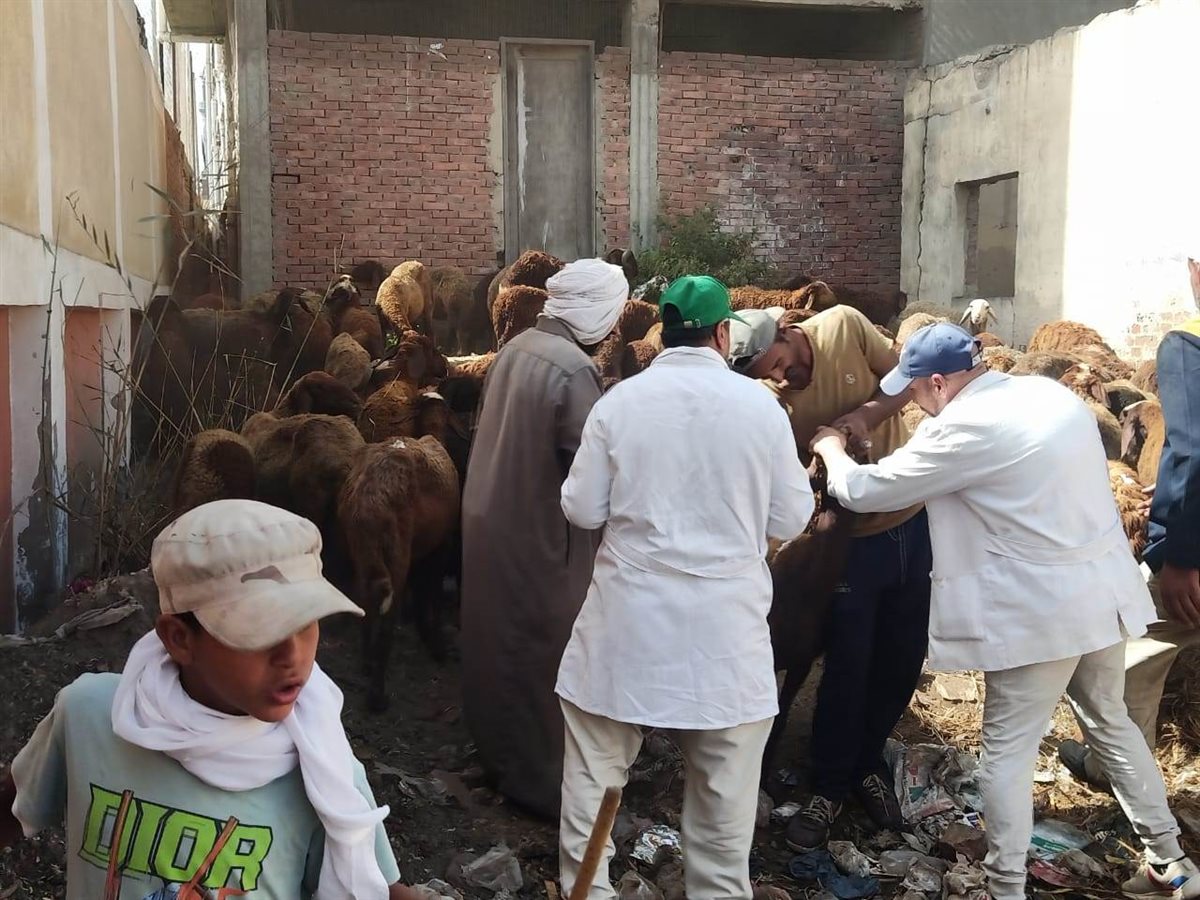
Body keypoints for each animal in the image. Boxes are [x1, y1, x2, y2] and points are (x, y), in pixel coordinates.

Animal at [338, 429, 461, 711]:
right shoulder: (441, 546)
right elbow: (433, 594)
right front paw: (437, 645)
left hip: (363, 550)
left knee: (366, 602)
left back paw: (367, 664)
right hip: (396, 552)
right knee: (386, 622)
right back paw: (377, 698)